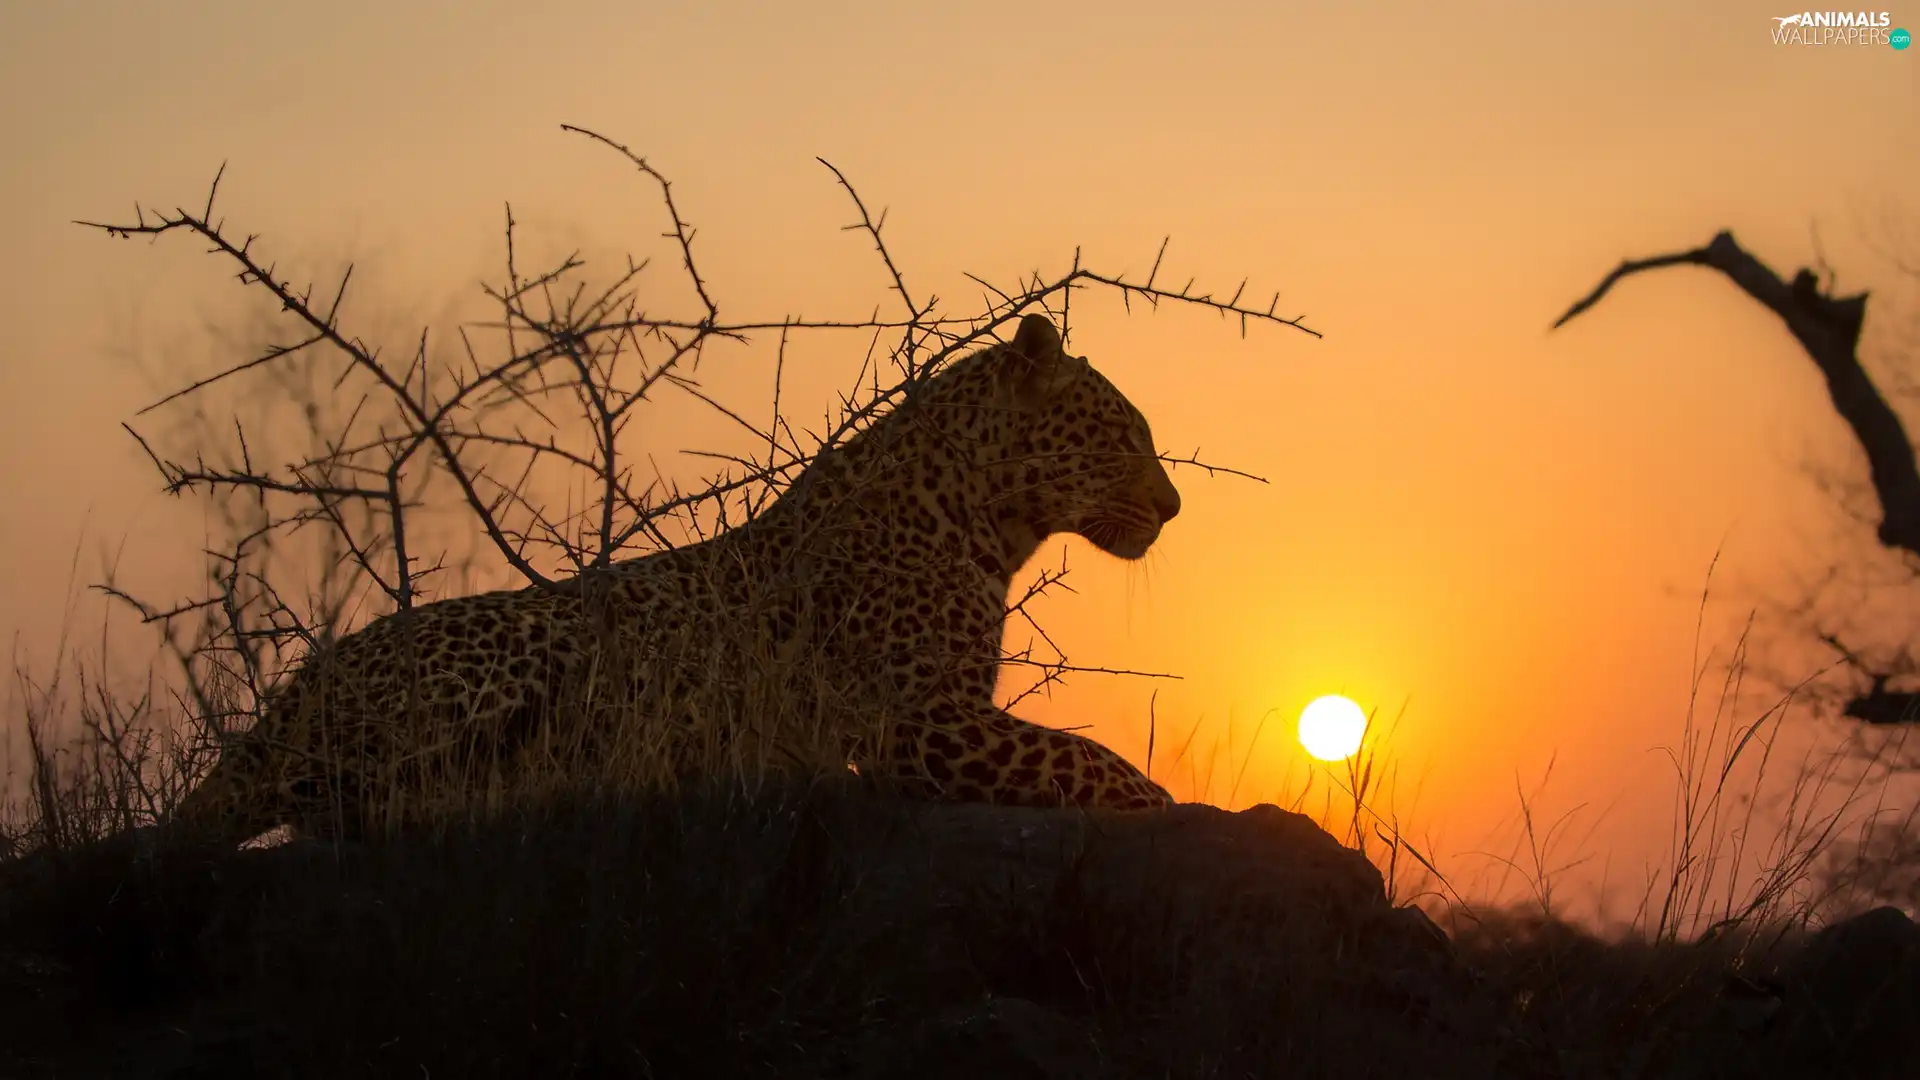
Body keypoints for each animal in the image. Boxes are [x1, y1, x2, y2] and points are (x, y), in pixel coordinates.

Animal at [168, 311, 1182, 841]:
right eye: (1126, 435)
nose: (1174, 507)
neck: (989, 521)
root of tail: (298, 686)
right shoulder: (919, 717)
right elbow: (1085, 759)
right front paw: (1173, 805)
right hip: (518, 658)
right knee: (356, 801)